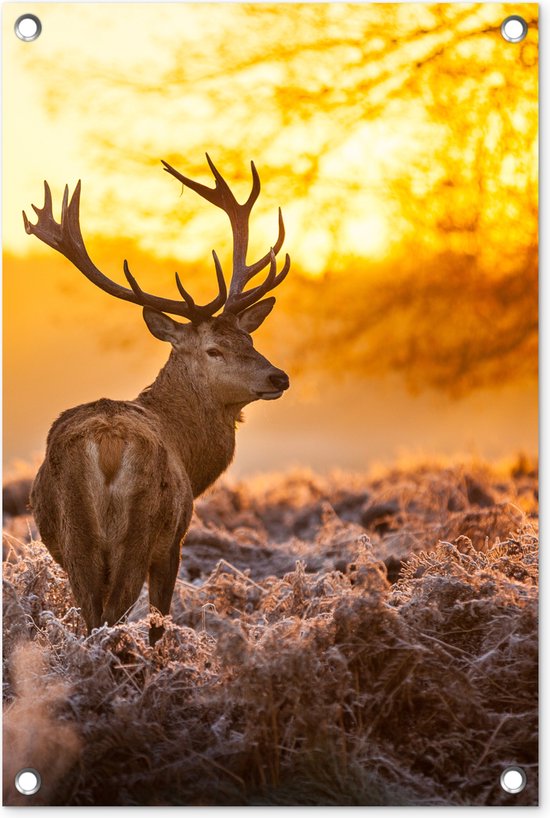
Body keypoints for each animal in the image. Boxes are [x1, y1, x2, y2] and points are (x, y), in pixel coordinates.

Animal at [24, 155, 294, 644]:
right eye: (214, 349)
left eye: (249, 339)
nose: (278, 376)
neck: (190, 453)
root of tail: (107, 445)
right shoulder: (174, 542)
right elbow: (159, 624)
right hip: (141, 530)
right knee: (112, 617)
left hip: (75, 538)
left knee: (92, 617)